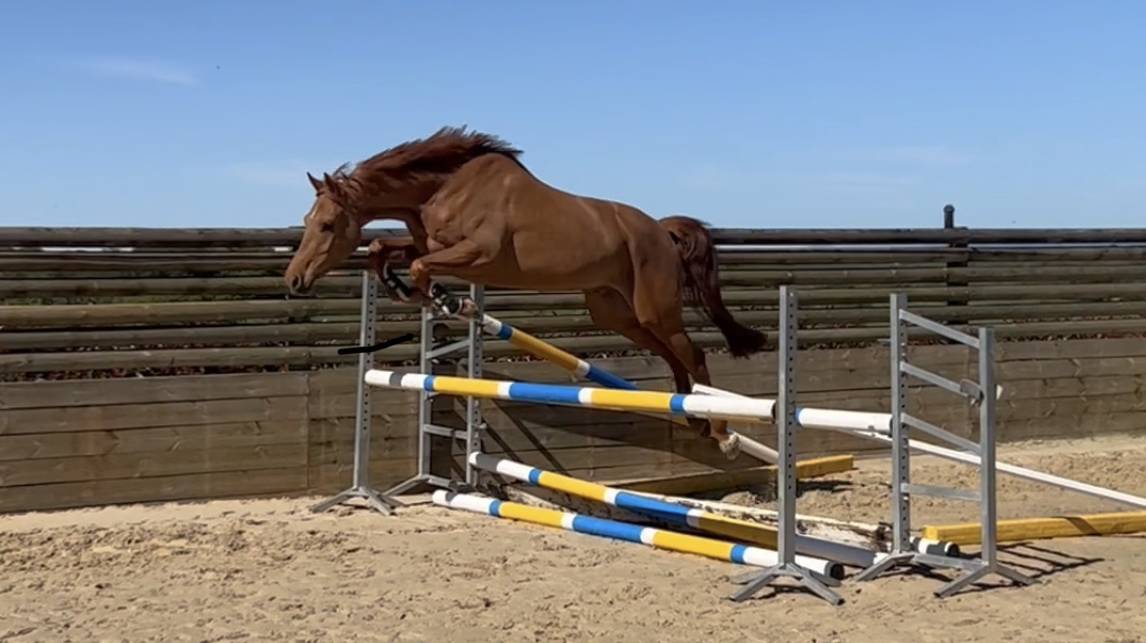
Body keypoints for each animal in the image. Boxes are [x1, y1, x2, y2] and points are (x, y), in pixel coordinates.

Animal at [284, 126, 768, 458]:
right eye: (308, 221)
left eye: (327, 225)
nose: (294, 280)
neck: (443, 188)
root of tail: (661, 231)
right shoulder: (430, 244)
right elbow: (385, 249)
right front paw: (404, 287)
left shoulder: (477, 253)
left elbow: (420, 266)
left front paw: (440, 299)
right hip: (616, 313)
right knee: (672, 356)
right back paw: (690, 416)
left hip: (653, 309)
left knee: (692, 354)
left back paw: (720, 432)